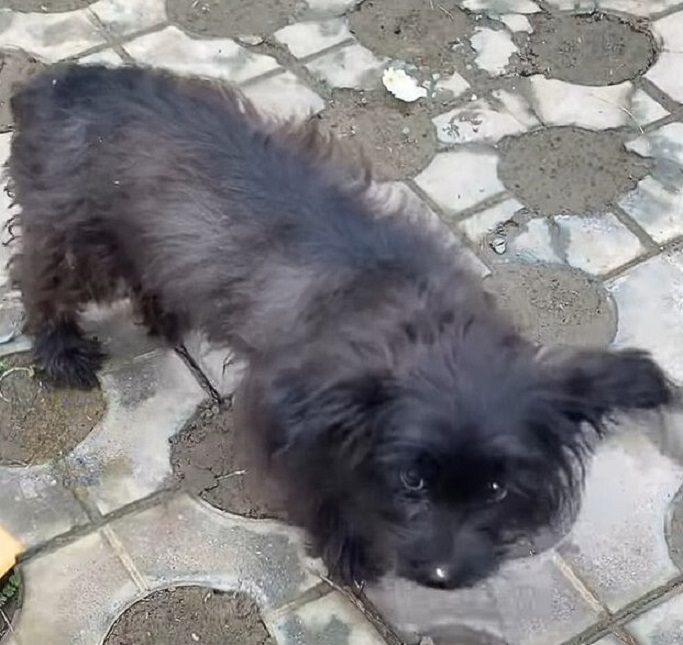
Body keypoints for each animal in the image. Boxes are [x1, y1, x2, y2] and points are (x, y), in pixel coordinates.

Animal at [6, 64, 680, 588]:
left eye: (495, 490)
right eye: (412, 480)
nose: (440, 577)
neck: (423, 325)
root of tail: (59, 81)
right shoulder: (285, 422)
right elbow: (320, 493)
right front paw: (348, 551)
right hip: (79, 240)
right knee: (37, 280)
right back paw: (59, 352)